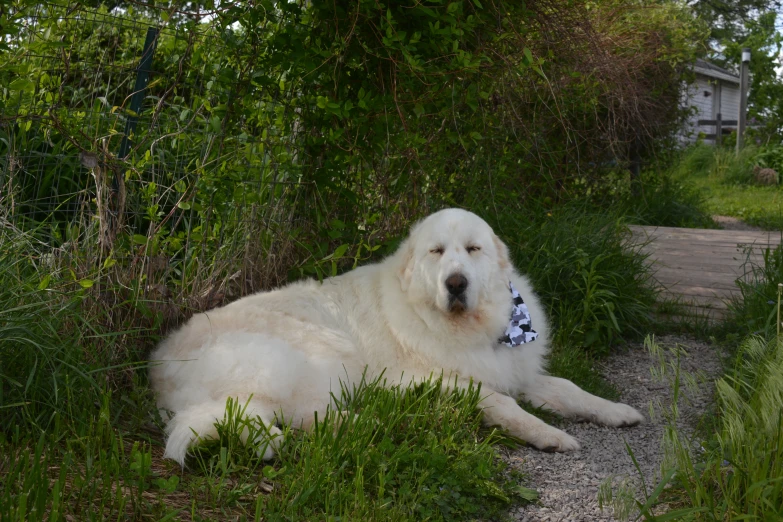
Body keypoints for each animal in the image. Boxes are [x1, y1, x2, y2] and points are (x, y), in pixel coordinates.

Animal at [152, 208, 644, 464]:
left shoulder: (512, 370)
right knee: (307, 418)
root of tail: (159, 370)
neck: (464, 325)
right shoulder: (427, 380)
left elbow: (569, 388)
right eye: (436, 252)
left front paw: (614, 411)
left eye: (473, 249)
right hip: (320, 355)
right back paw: (371, 425)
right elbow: (502, 404)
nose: (456, 283)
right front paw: (547, 434)